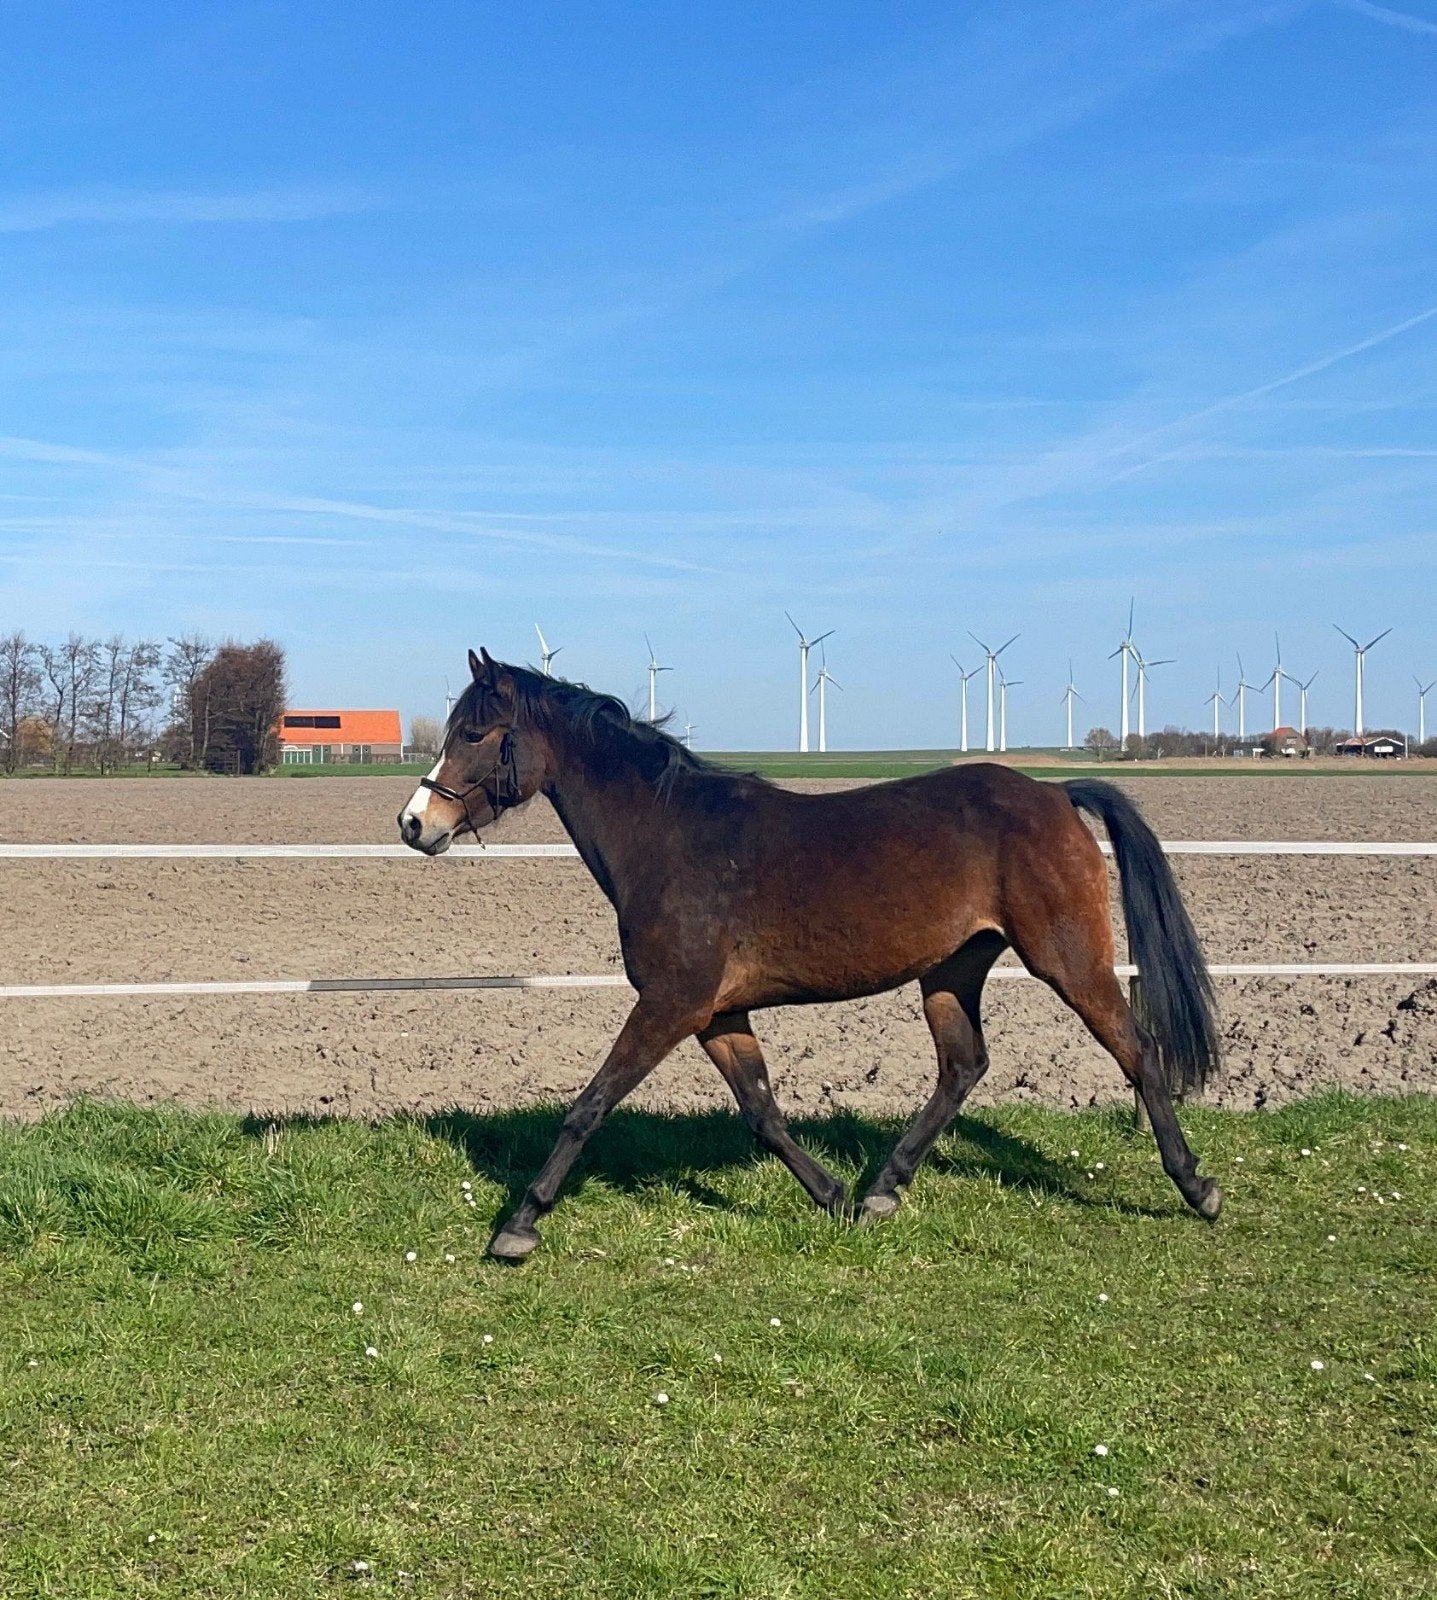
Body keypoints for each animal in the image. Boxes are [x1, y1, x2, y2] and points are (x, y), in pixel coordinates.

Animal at [399, 649, 1222, 1260]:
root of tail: (1053, 793)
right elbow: (762, 1112)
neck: (669, 838)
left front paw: (519, 1224)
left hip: (1067, 958)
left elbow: (590, 1104)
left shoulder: (671, 1003)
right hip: (950, 969)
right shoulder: (716, 1014)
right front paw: (832, 1195)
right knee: (963, 1067)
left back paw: (1197, 1187)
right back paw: (882, 1188)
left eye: (473, 732)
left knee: (1138, 1052)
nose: (414, 823)